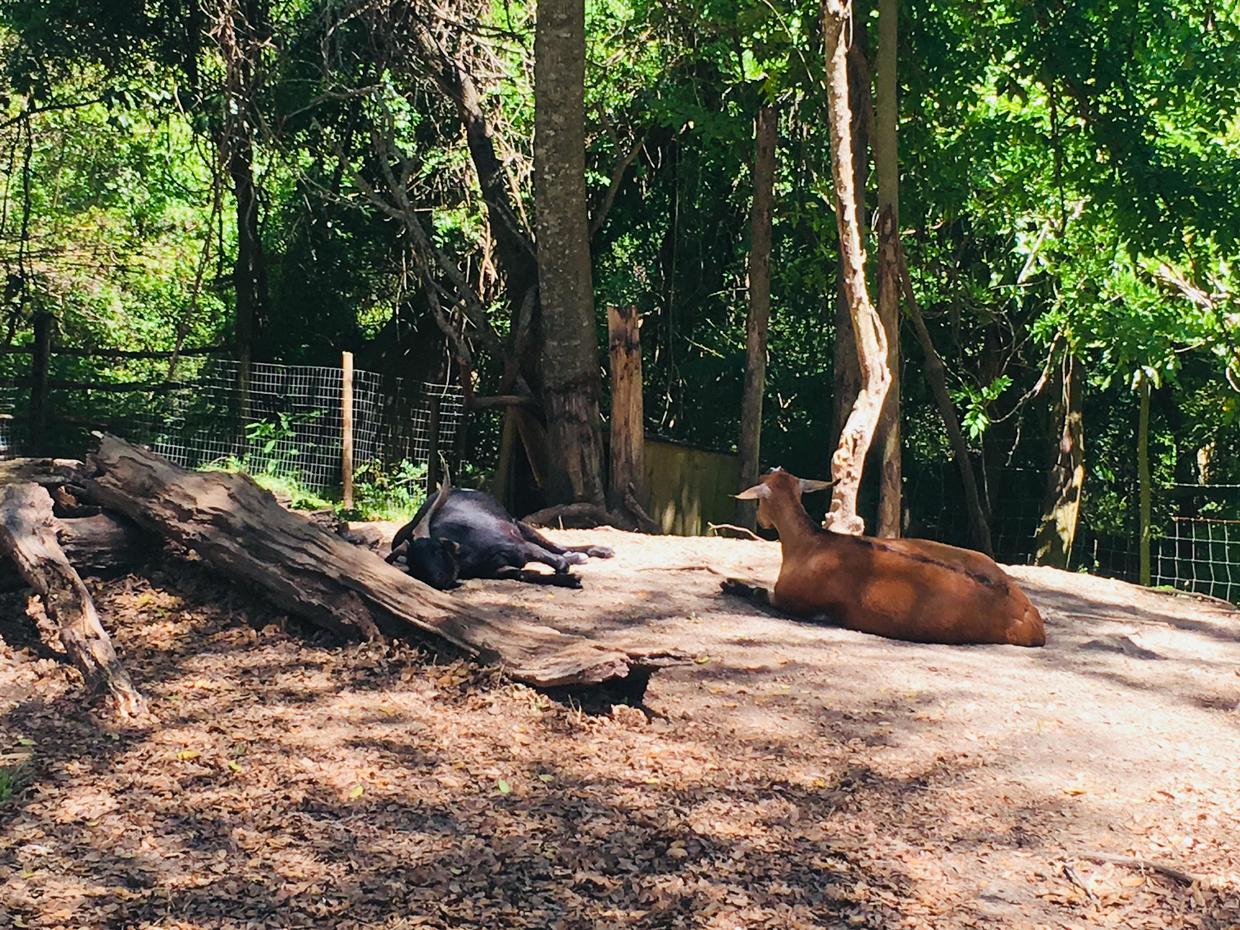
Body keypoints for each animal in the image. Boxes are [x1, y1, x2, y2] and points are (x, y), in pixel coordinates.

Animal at [386, 481, 615, 590]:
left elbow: (557, 561)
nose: (439, 579)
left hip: (519, 525)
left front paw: (570, 572)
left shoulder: (518, 546)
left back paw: (597, 551)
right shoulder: (500, 569)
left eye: (436, 550)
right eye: (417, 566)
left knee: (557, 547)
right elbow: (526, 575)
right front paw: (570, 580)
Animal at [729, 466, 1051, 649]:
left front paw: (731, 584)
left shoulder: (792, 601)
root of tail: (1032, 618)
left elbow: (760, 593)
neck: (811, 544)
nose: (761, 521)